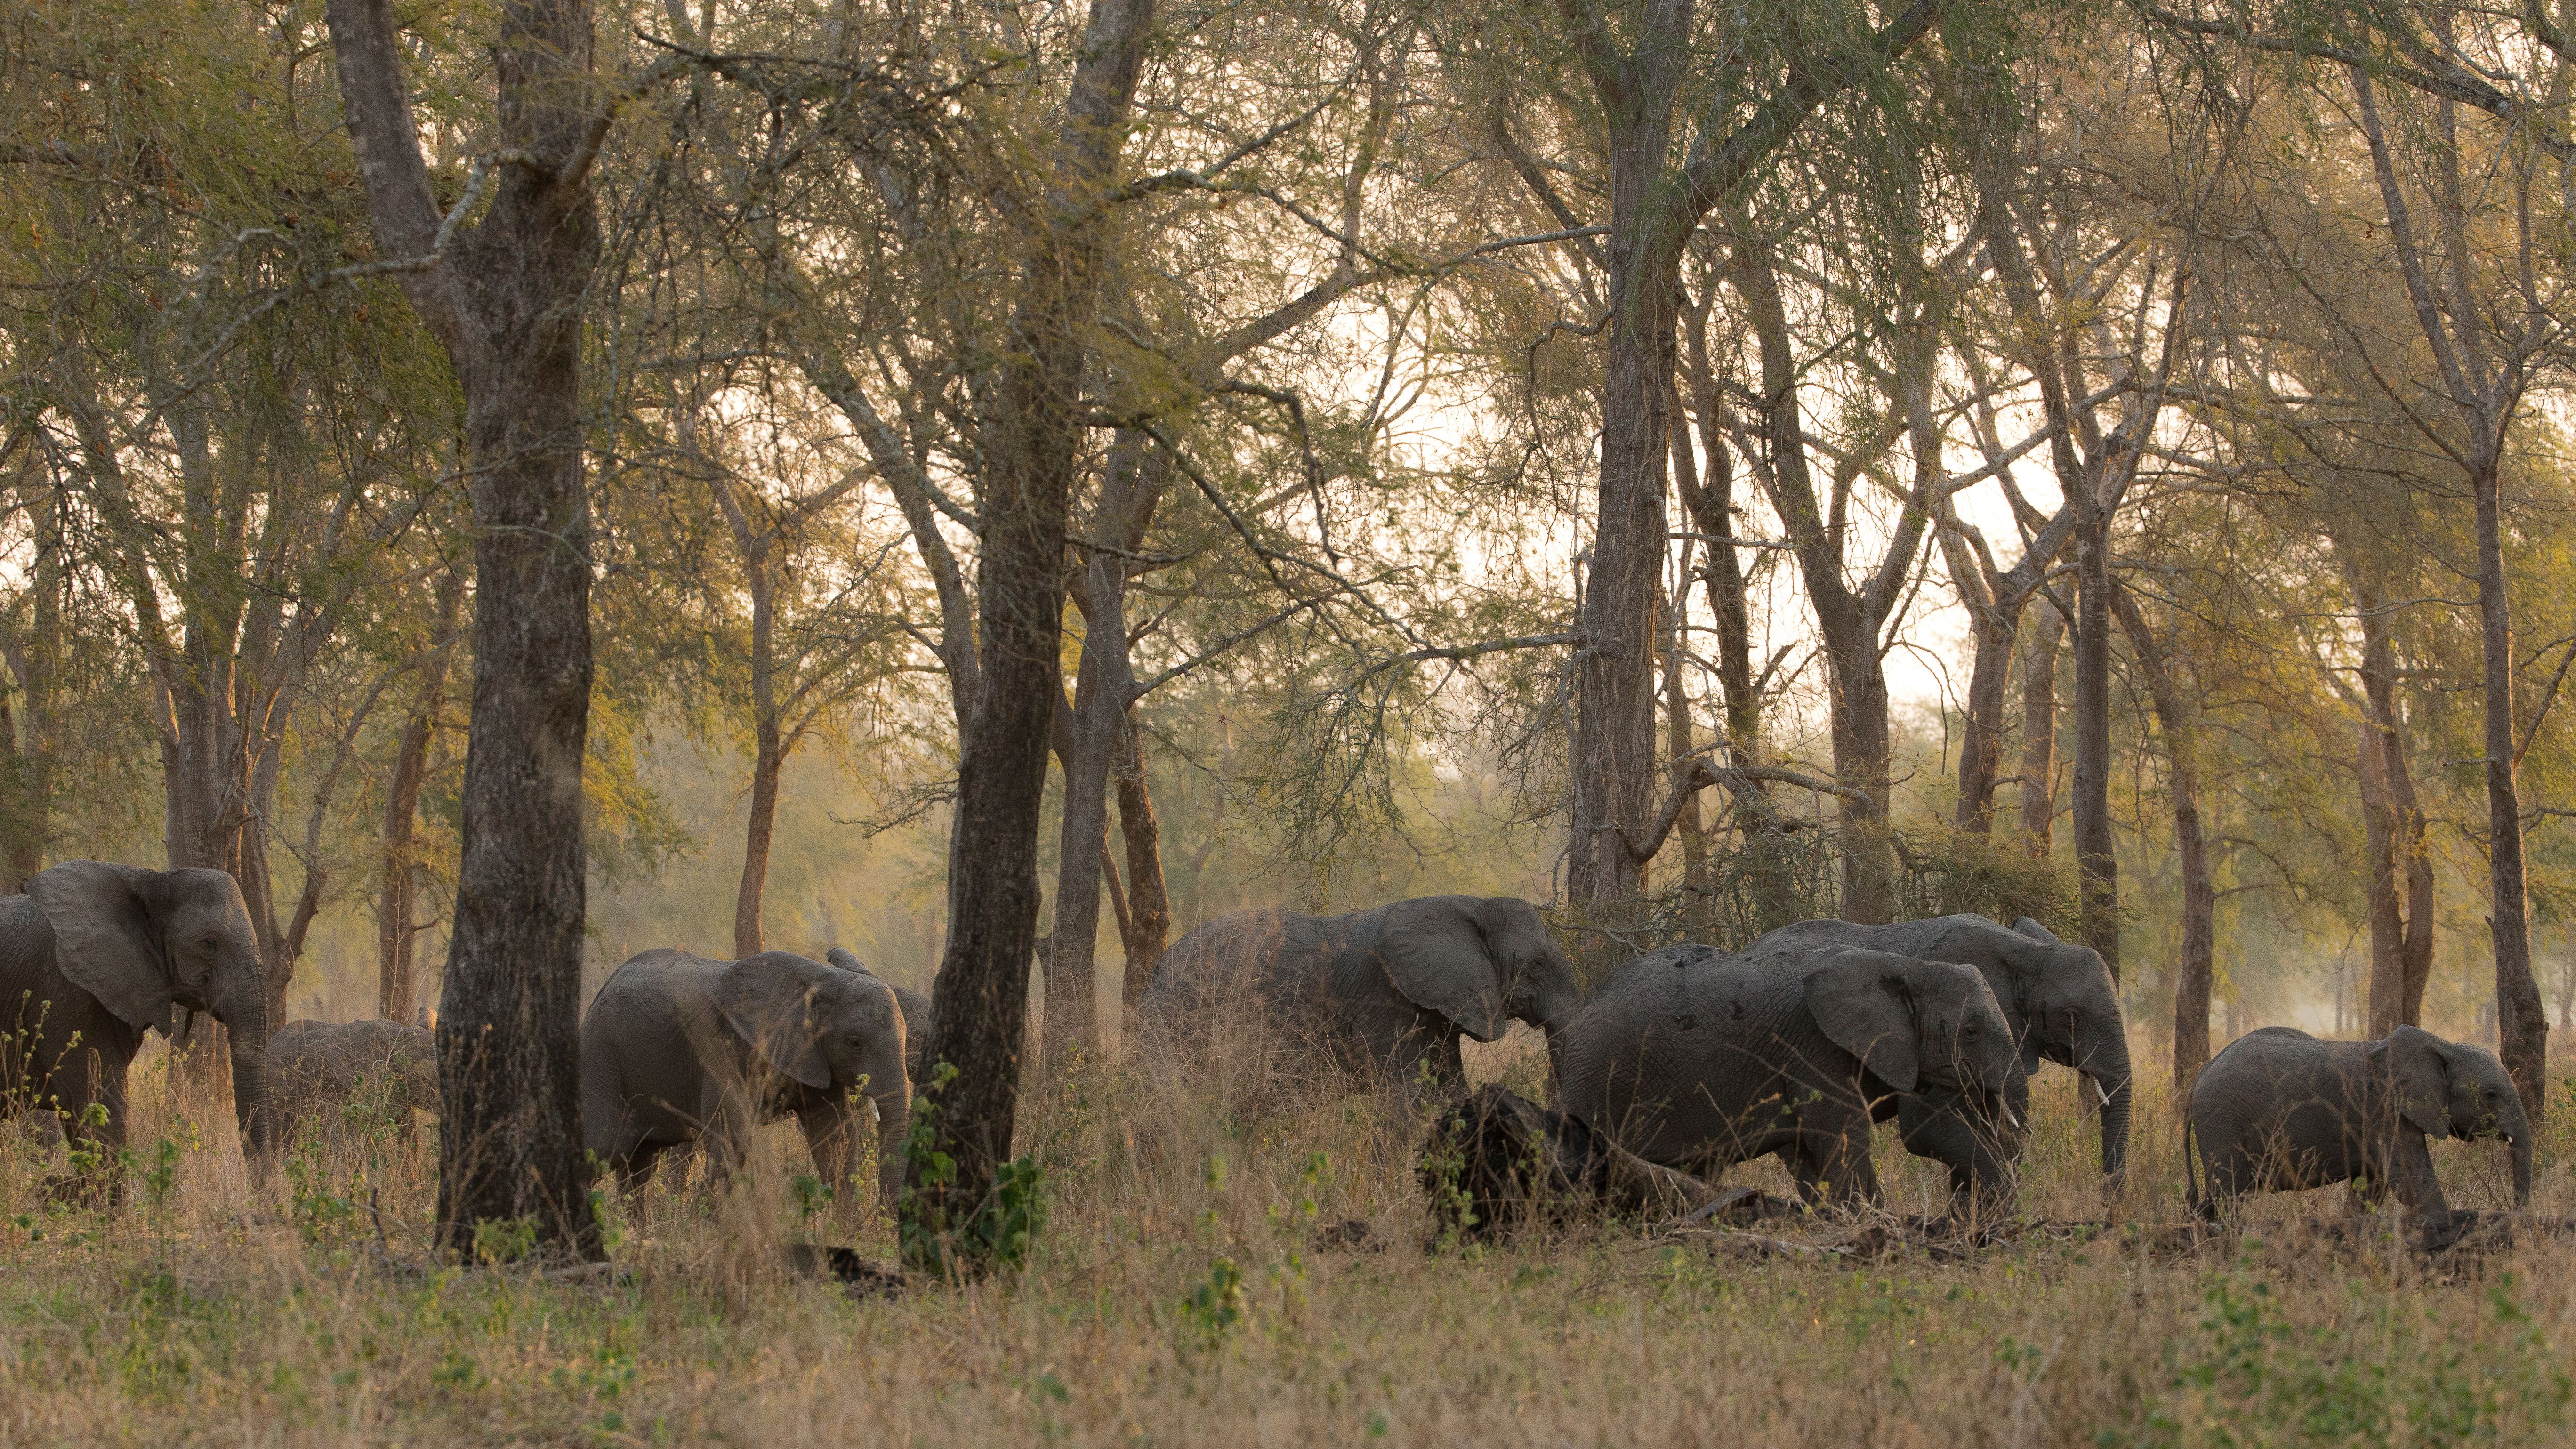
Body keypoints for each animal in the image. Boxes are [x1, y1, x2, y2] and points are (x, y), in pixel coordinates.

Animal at [0, 861, 276, 1193]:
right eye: (209, 944)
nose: (265, 1200)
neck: (147, 879)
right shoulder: (66, 994)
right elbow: (103, 1115)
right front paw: (60, 1192)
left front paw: (55, 1189)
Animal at [581, 948, 911, 1212]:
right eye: (855, 1043)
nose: (886, 1215)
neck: (824, 978)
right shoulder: (724, 1047)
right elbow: (732, 1139)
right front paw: (704, 1229)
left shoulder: (812, 1056)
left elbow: (835, 1136)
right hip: (602, 1057)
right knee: (602, 1147)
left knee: (638, 1165)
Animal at [1136, 895, 1582, 1104]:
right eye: (1537, 964)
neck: (1473, 904)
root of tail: (1155, 971)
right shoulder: (1383, 1000)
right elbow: (1410, 1099)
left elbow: (1451, 1091)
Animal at [2185, 1024, 2530, 1223]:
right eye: (2491, 1095)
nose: (2514, 1213)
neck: (2445, 1046)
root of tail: (2200, 1076)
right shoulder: (2383, 1109)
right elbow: (2411, 1181)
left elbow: (2373, 1186)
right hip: (2222, 1122)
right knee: (2230, 1196)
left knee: (2219, 1198)